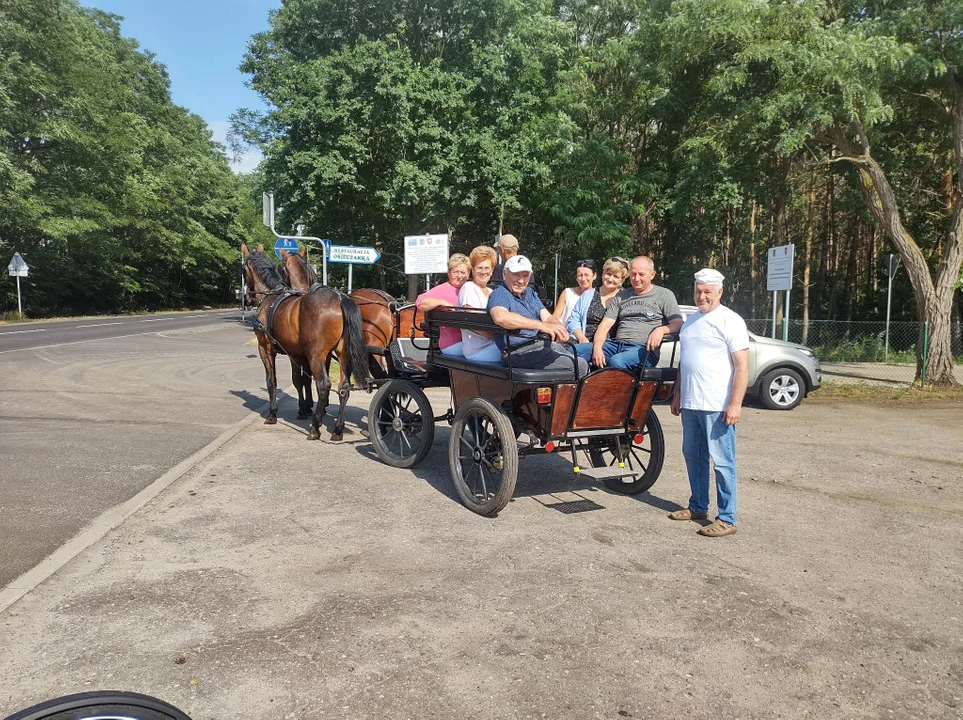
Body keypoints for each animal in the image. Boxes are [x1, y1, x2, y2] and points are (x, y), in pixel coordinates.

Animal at [243, 245, 370, 442]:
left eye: (243, 270)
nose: (247, 298)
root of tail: (340, 298)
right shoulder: (297, 354)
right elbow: (302, 380)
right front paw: (304, 408)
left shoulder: (266, 349)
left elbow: (274, 380)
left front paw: (273, 413)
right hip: (342, 354)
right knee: (344, 388)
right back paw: (337, 429)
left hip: (316, 356)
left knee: (324, 386)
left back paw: (315, 427)